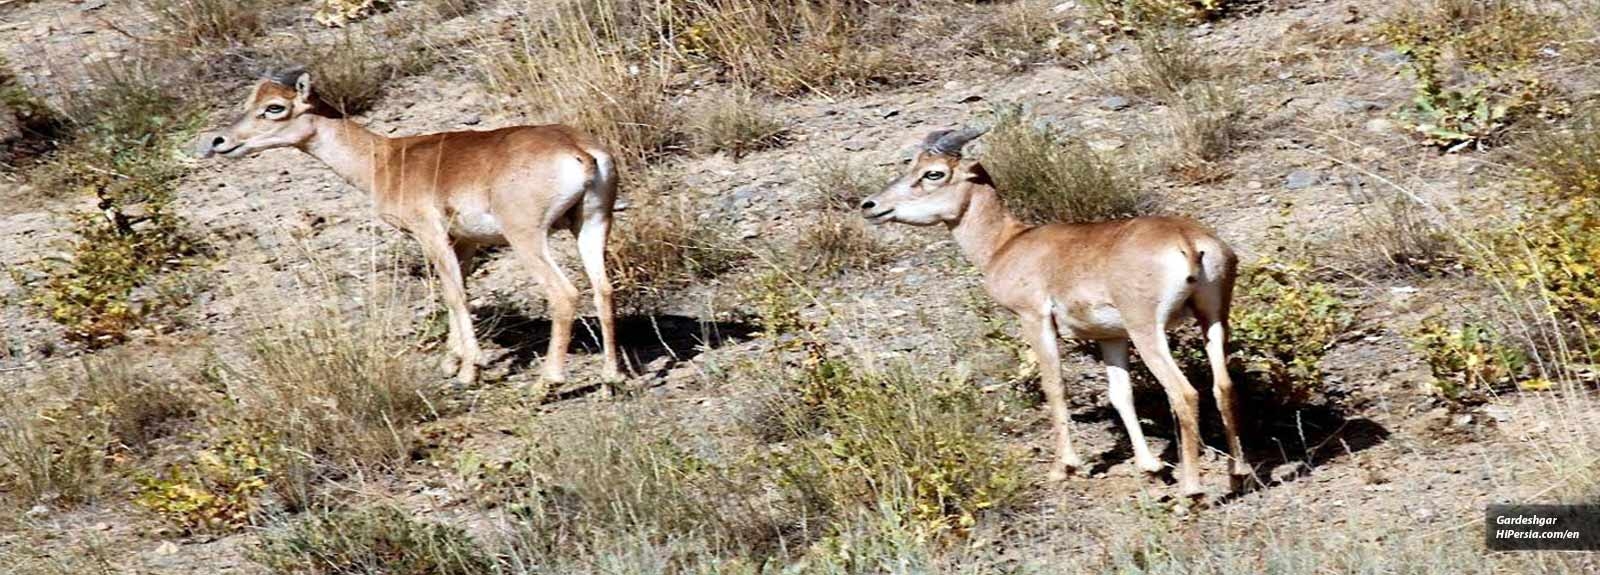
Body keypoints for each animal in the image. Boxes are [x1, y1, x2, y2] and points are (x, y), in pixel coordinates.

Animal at [198, 69, 617, 389]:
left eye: (274, 107)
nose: (220, 141)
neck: (386, 159)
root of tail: (581, 152)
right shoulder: (463, 243)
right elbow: (458, 291)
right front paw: (452, 364)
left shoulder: (430, 234)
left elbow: (454, 296)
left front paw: (468, 372)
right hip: (591, 226)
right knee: (603, 290)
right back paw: (612, 378)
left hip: (527, 238)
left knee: (564, 294)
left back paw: (546, 383)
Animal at [864, 128, 1248, 496]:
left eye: (933, 172)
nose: (871, 205)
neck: (1007, 243)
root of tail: (1187, 240)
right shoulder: (1111, 336)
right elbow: (1120, 395)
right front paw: (1150, 467)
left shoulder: (1034, 319)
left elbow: (1055, 386)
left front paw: (1063, 468)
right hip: (1212, 320)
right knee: (1223, 386)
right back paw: (1238, 474)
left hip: (1148, 331)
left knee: (1184, 393)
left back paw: (1192, 493)